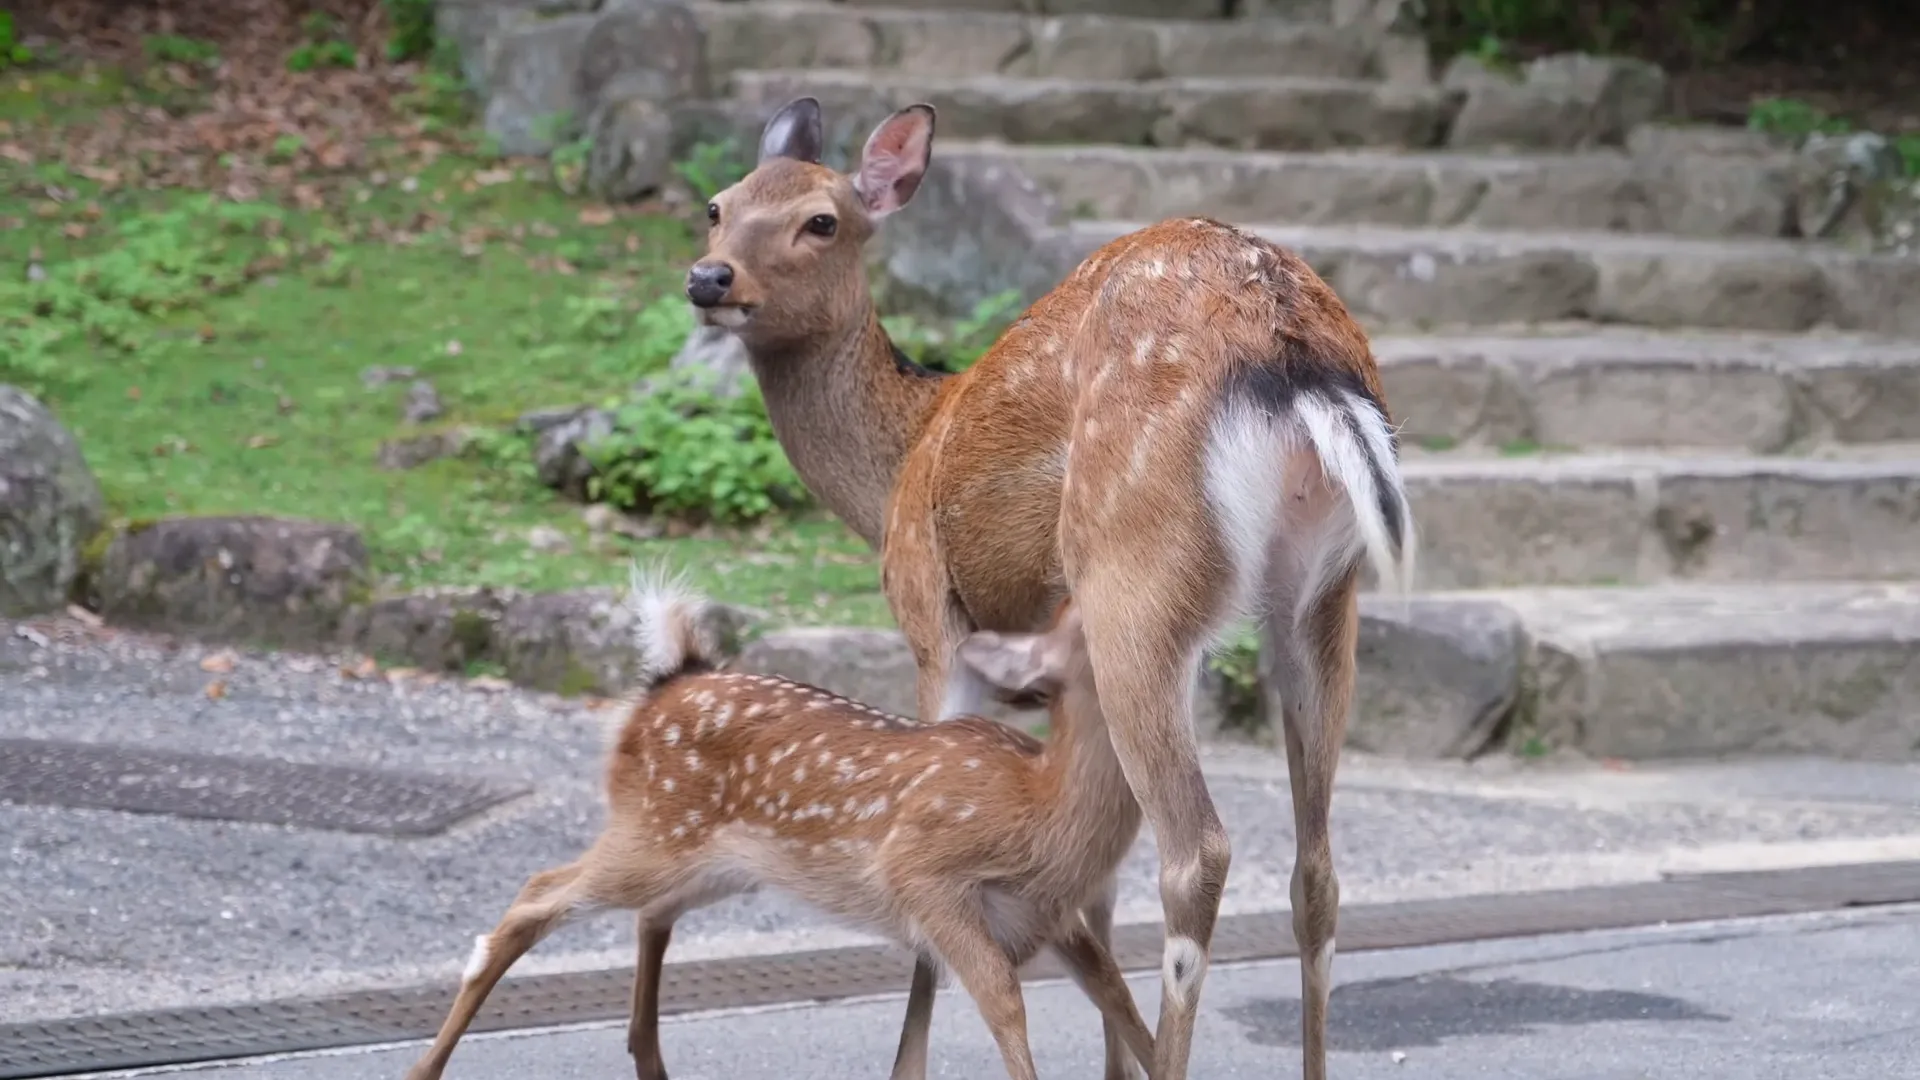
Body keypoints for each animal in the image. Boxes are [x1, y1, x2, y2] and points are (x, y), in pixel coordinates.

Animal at [683, 100, 1420, 1076]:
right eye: (719, 206)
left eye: (822, 221)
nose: (708, 278)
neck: (898, 462)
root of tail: (1299, 362)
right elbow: (1095, 886)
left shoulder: (931, 616)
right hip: (1322, 598)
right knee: (1316, 869)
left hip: (1132, 574)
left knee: (1196, 855)